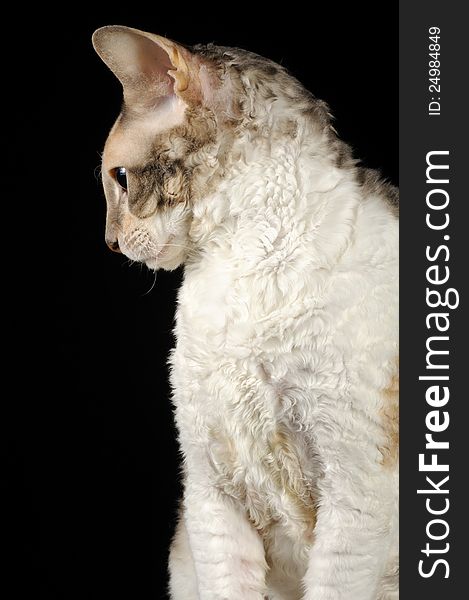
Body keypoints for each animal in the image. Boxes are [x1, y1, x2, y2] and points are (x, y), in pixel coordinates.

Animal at [92, 25, 398, 596]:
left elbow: (333, 581)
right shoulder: (209, 486)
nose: (110, 243)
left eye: (120, 178)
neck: (244, 263)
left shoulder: (357, 492)